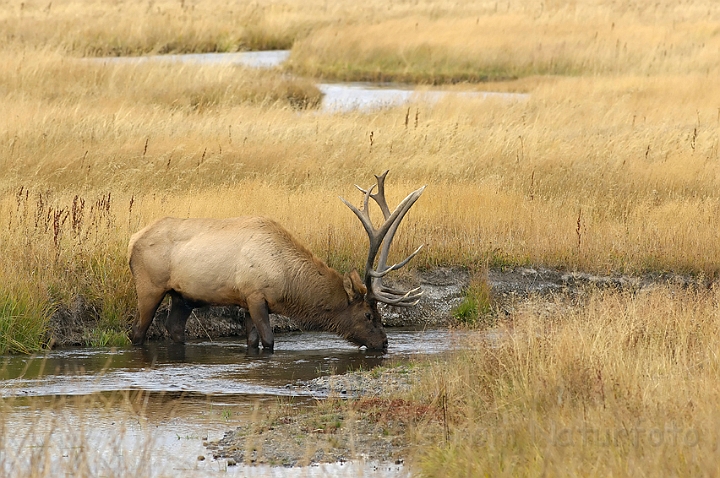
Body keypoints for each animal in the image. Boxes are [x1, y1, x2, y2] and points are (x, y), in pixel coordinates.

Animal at [127, 172, 424, 352]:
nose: (384, 342)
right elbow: (268, 341)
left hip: (182, 295)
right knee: (137, 332)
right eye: (368, 315)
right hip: (149, 286)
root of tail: (132, 240)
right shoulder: (255, 295)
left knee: (175, 328)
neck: (286, 281)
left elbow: (252, 341)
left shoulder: (246, 300)